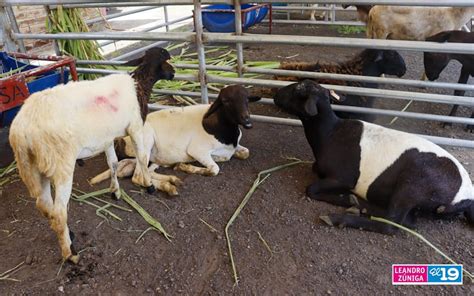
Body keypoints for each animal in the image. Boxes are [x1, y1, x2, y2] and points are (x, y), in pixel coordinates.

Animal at [89, 84, 260, 194]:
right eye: (225, 101)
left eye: (247, 99)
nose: (246, 120)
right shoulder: (198, 150)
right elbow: (214, 169)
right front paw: (187, 167)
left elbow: (245, 153)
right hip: (144, 144)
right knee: (138, 177)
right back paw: (169, 184)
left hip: (151, 157)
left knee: (144, 172)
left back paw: (172, 180)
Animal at [274, 80, 474, 232]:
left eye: (298, 89)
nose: (275, 95)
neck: (330, 133)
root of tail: (468, 196)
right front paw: (350, 200)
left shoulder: (344, 178)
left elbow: (311, 189)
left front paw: (346, 199)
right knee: (405, 219)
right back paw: (358, 206)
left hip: (413, 185)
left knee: (394, 224)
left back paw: (340, 218)